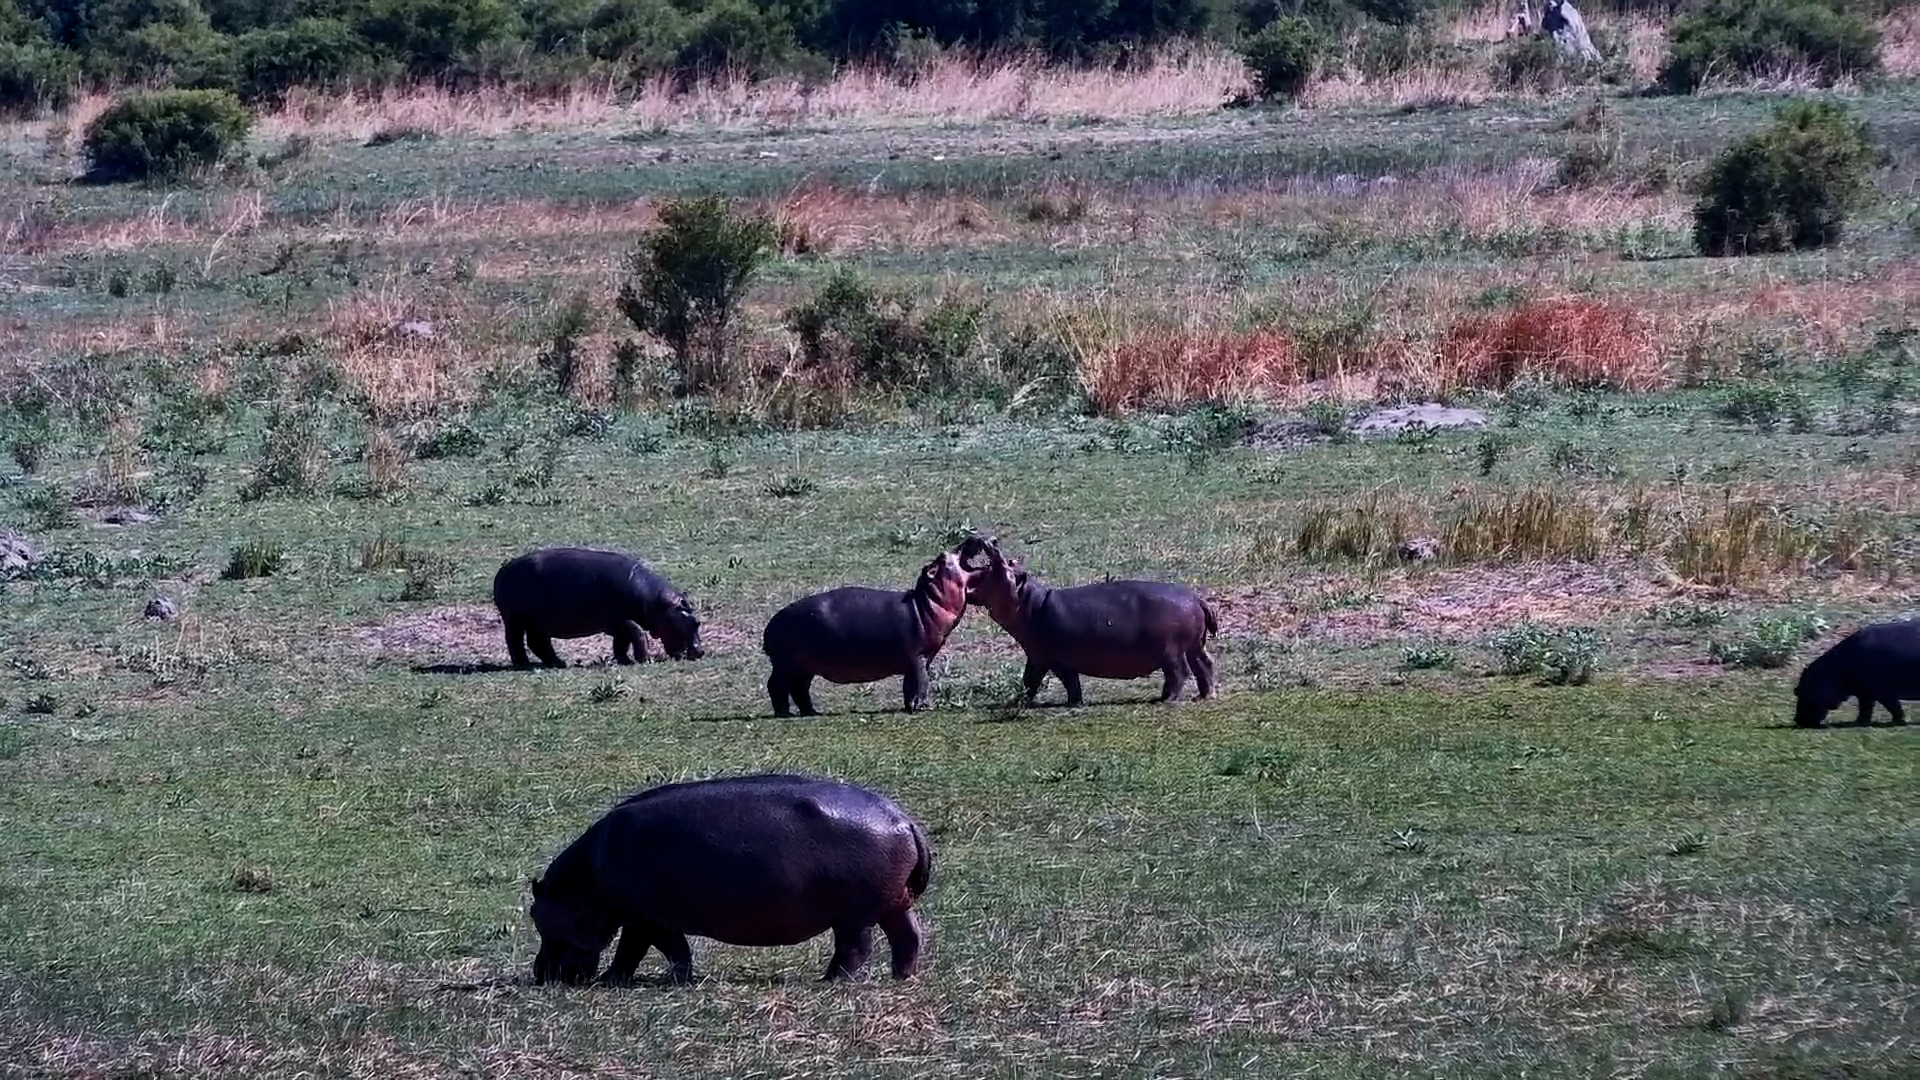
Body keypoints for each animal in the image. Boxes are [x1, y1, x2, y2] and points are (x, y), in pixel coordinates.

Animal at [492, 547, 702, 668]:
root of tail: (502, 570)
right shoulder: (624, 619)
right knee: (515, 640)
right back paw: (524, 664)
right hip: (516, 619)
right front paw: (645, 660)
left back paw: (559, 663)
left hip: (537, 622)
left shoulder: (617, 623)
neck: (656, 601)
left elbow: (621, 642)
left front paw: (624, 661)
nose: (701, 652)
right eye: (697, 622)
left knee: (538, 642)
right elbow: (638, 634)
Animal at [529, 773, 932, 986]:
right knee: (907, 937)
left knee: (855, 948)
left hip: (854, 915)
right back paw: (902, 977)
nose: (540, 973)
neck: (584, 884)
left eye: (539, 918)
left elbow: (658, 949)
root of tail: (902, 818)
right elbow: (643, 950)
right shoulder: (640, 918)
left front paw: (629, 980)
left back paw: (830, 980)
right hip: (893, 904)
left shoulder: (647, 917)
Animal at [760, 551, 975, 717]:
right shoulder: (917, 657)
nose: (949, 550)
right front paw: (922, 707)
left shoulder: (916, 660)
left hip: (805, 667)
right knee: (776, 685)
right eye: (942, 559)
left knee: (799, 689)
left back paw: (811, 712)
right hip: (786, 665)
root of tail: (769, 626)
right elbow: (922, 681)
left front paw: (909, 707)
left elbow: (909, 684)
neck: (926, 602)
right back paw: (784, 713)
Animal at [958, 537, 1217, 706]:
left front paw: (1017, 702)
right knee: (1203, 665)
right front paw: (1074, 702)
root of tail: (1196, 598)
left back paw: (1168, 700)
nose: (989, 540)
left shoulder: (1043, 656)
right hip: (1193, 646)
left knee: (1179, 672)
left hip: (1170, 650)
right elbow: (1068, 682)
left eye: (1004, 564)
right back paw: (1202, 695)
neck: (1027, 601)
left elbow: (1032, 680)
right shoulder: (1050, 657)